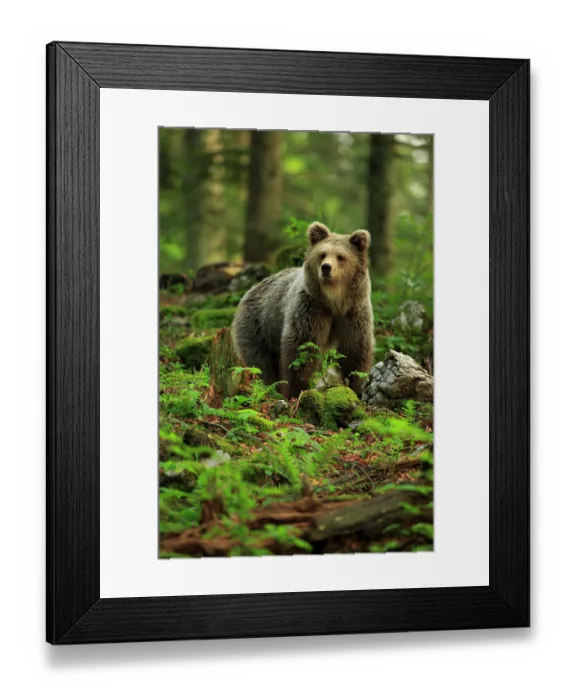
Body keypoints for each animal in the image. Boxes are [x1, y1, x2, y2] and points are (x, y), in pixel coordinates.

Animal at [231, 221, 374, 398]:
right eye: (322, 254)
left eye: (341, 257)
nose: (326, 268)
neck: (334, 301)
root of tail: (250, 290)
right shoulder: (311, 308)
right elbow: (302, 347)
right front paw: (297, 389)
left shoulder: (353, 312)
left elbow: (355, 348)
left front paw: (357, 384)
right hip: (258, 327)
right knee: (259, 362)